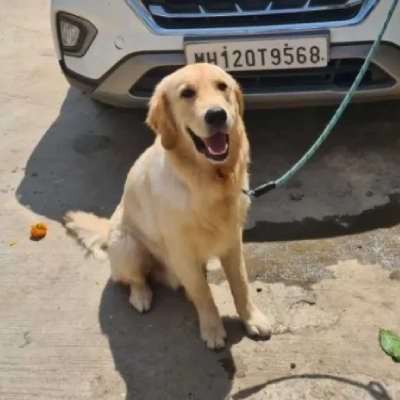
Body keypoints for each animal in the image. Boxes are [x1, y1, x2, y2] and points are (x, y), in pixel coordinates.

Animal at [65, 64, 272, 348]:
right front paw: (212, 329)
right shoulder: (181, 250)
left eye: (222, 86)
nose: (217, 115)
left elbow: (240, 284)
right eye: (187, 93)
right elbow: (203, 294)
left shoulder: (232, 240)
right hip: (128, 246)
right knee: (135, 279)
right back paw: (141, 296)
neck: (209, 181)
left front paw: (252, 319)